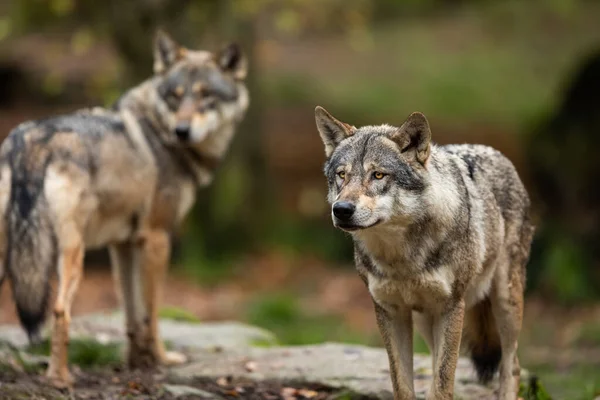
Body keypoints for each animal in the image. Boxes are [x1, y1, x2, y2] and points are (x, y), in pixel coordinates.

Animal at [0, 29, 250, 386]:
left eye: (205, 96)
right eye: (175, 97)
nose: (182, 131)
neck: (159, 130)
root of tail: (30, 141)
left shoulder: (123, 243)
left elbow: (131, 314)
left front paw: (136, 363)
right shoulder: (157, 239)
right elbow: (152, 313)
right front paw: (161, 359)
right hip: (72, 254)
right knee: (60, 310)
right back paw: (60, 378)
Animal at [314, 107, 536, 400]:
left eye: (378, 175)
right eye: (342, 175)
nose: (341, 210)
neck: (401, 258)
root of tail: (495, 151)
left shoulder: (451, 307)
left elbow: (443, 385)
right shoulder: (391, 311)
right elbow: (403, 384)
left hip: (505, 303)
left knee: (512, 365)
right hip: (424, 319)